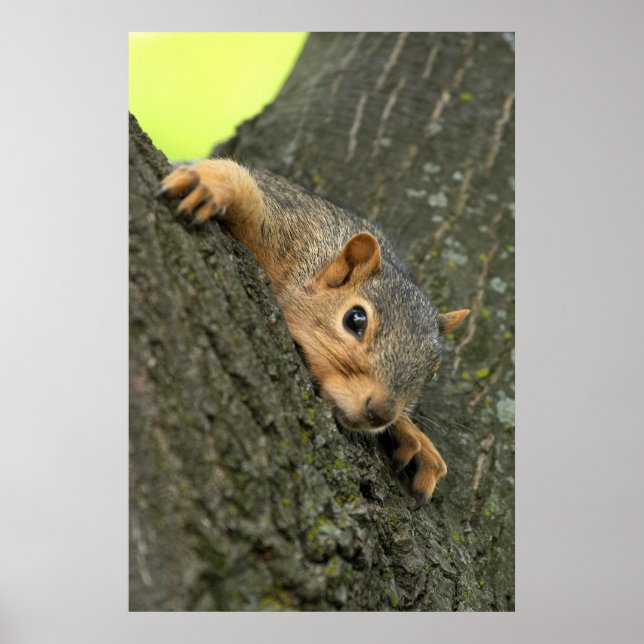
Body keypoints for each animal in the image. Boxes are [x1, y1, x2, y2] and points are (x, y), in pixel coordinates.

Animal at [158, 159, 469, 502]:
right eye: (355, 320)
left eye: (433, 371)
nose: (380, 412)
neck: (316, 257)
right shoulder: (281, 231)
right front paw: (208, 183)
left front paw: (412, 434)